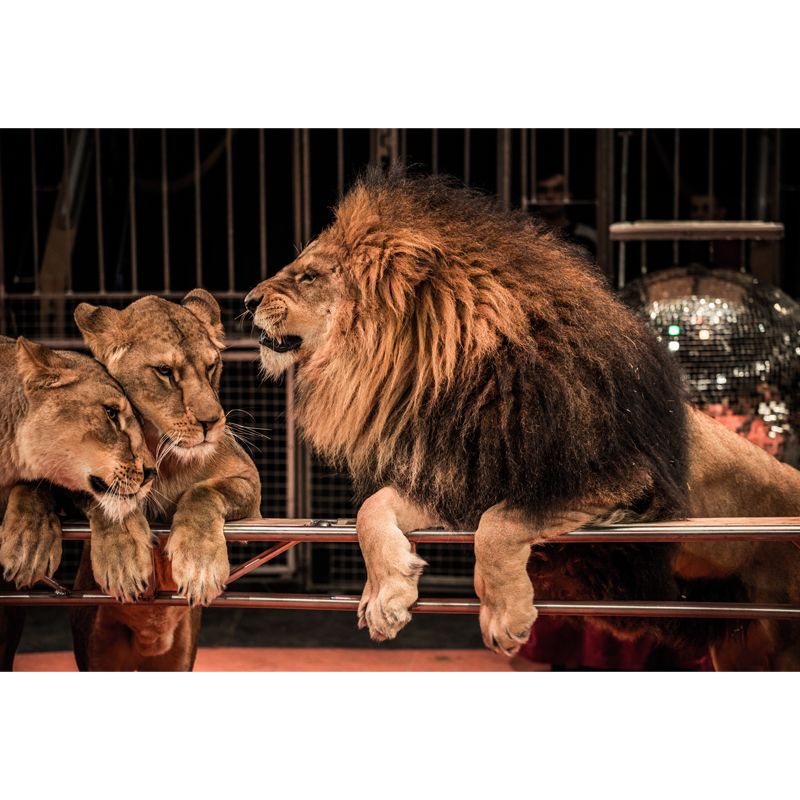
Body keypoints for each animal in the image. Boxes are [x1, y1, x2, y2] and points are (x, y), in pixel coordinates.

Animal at [244, 168, 800, 670]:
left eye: (309, 276)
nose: (247, 301)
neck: (455, 376)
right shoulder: (461, 482)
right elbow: (372, 509)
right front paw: (386, 595)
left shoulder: (619, 484)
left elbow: (501, 524)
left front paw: (504, 616)